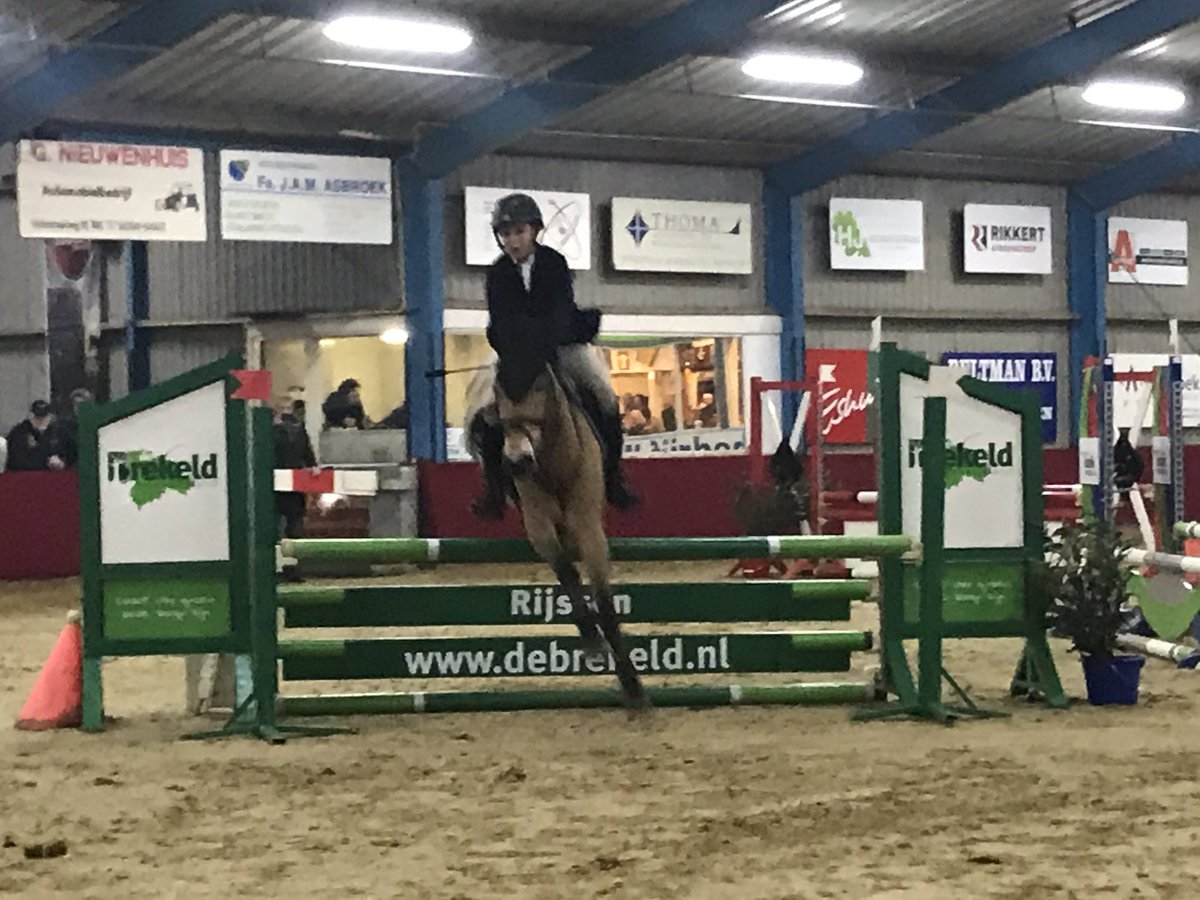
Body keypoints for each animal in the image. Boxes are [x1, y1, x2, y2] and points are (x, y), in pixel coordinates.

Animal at [470, 356, 648, 711]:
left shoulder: (589, 528)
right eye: (498, 390)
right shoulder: (538, 525)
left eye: (541, 385)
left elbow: (604, 602)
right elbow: (566, 573)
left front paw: (632, 684)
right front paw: (592, 641)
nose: (518, 461)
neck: (554, 461)